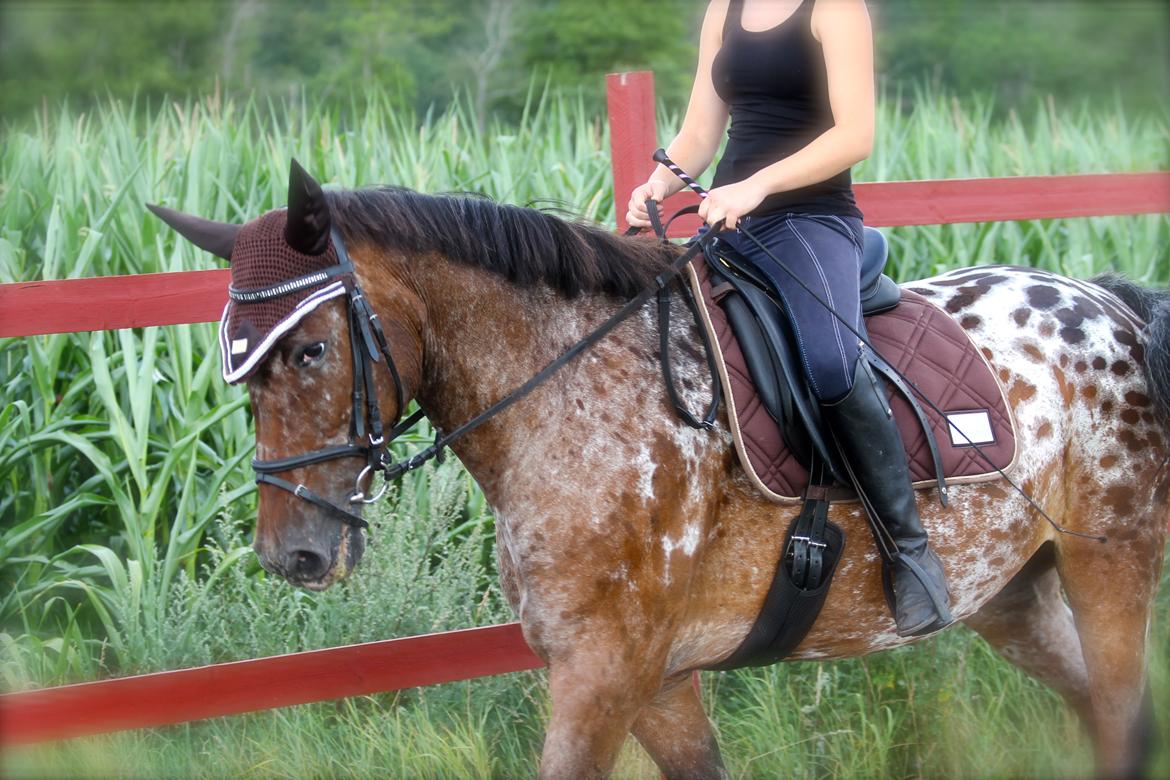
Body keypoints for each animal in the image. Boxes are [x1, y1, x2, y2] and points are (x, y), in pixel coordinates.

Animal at [150, 161, 1165, 776]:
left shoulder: (605, 675)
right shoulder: (657, 683)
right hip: (1014, 596)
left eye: (312, 350)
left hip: (1109, 565)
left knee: (1120, 712)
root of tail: (1106, 302)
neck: (571, 394)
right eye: (238, 368)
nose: (293, 555)